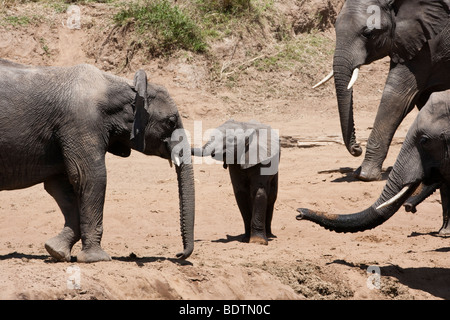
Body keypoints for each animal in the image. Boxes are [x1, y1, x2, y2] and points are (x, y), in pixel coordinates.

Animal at [0, 59, 194, 262]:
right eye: (171, 122)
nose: (179, 254)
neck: (123, 86)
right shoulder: (82, 123)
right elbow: (91, 177)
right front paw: (96, 258)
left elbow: (60, 186)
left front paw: (56, 251)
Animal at [314, 0, 450, 180]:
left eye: (368, 33)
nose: (357, 148)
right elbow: (422, 99)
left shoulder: (429, 44)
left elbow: (397, 96)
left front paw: (365, 175)